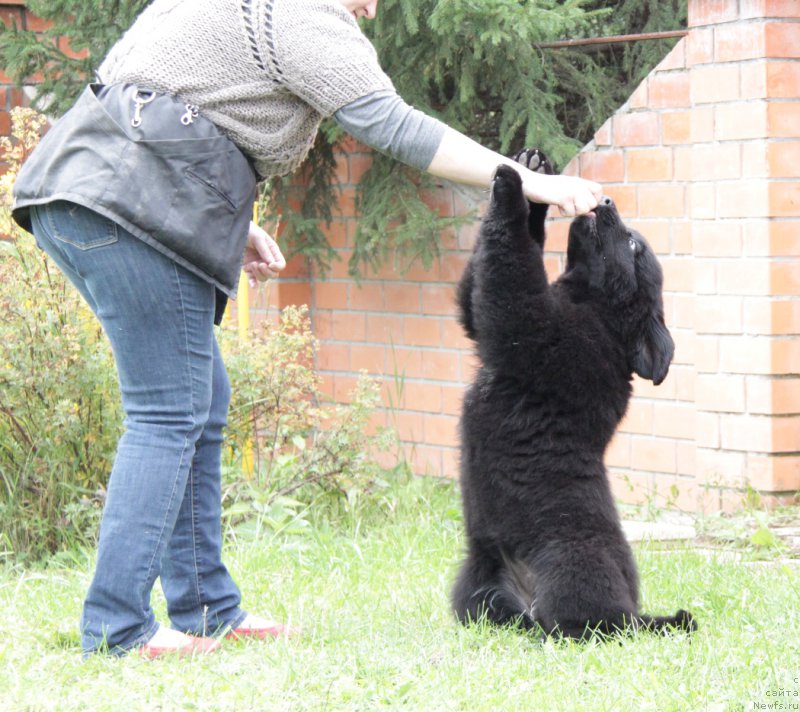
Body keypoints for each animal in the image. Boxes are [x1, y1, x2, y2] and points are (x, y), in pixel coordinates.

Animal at [454, 149, 696, 640]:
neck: (596, 307)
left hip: (575, 561)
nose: (605, 201)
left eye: (633, 245)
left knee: (599, 623)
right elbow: (489, 275)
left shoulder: (531, 328)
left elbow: (510, 262)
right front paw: (533, 172)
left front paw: (513, 186)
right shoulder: (484, 317)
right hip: (473, 583)